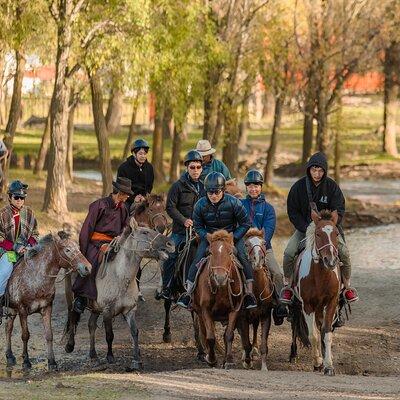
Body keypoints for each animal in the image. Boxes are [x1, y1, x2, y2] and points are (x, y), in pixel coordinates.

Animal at [4, 231, 92, 372]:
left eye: (78, 248)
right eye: (67, 250)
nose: (87, 267)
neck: (36, 278)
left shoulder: (47, 308)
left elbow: (49, 335)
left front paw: (52, 362)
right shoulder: (22, 310)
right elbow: (25, 335)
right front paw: (26, 362)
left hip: (11, 309)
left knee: (8, 328)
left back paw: (10, 356)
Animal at [64, 217, 173, 370]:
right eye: (145, 232)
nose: (170, 244)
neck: (120, 276)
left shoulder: (130, 310)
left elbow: (135, 332)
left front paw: (136, 359)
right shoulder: (107, 311)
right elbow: (109, 335)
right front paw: (110, 357)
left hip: (96, 308)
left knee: (91, 325)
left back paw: (93, 355)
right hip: (72, 297)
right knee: (73, 317)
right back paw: (70, 345)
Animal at [191, 230, 244, 368]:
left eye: (230, 252)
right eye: (210, 253)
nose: (220, 278)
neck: (221, 289)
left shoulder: (235, 309)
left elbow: (229, 335)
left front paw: (229, 360)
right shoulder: (205, 310)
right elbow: (210, 337)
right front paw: (212, 359)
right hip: (199, 312)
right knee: (203, 332)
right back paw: (205, 354)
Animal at [238, 228, 276, 372]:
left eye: (264, 243)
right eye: (246, 244)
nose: (258, 259)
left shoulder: (265, 315)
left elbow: (264, 344)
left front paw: (264, 367)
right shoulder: (242, 317)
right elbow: (245, 342)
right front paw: (247, 362)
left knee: (254, 328)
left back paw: (254, 349)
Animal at [290, 209, 342, 376]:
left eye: (336, 233)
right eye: (318, 234)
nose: (330, 261)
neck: (321, 276)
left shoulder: (331, 303)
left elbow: (326, 333)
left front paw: (329, 365)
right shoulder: (307, 306)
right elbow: (313, 335)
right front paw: (318, 362)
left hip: (320, 308)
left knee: (321, 328)